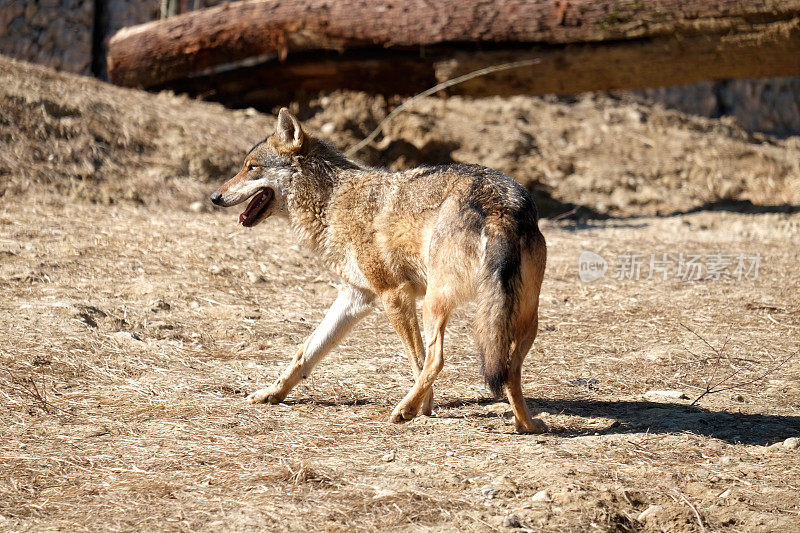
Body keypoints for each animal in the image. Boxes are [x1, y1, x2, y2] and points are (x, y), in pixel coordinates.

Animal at [211, 108, 552, 432]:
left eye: (252, 167)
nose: (214, 197)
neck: (332, 201)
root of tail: (503, 204)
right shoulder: (355, 297)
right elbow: (306, 352)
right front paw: (273, 393)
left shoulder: (394, 294)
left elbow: (417, 361)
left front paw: (423, 408)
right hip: (522, 318)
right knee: (509, 368)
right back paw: (527, 424)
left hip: (434, 305)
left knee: (436, 359)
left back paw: (404, 410)